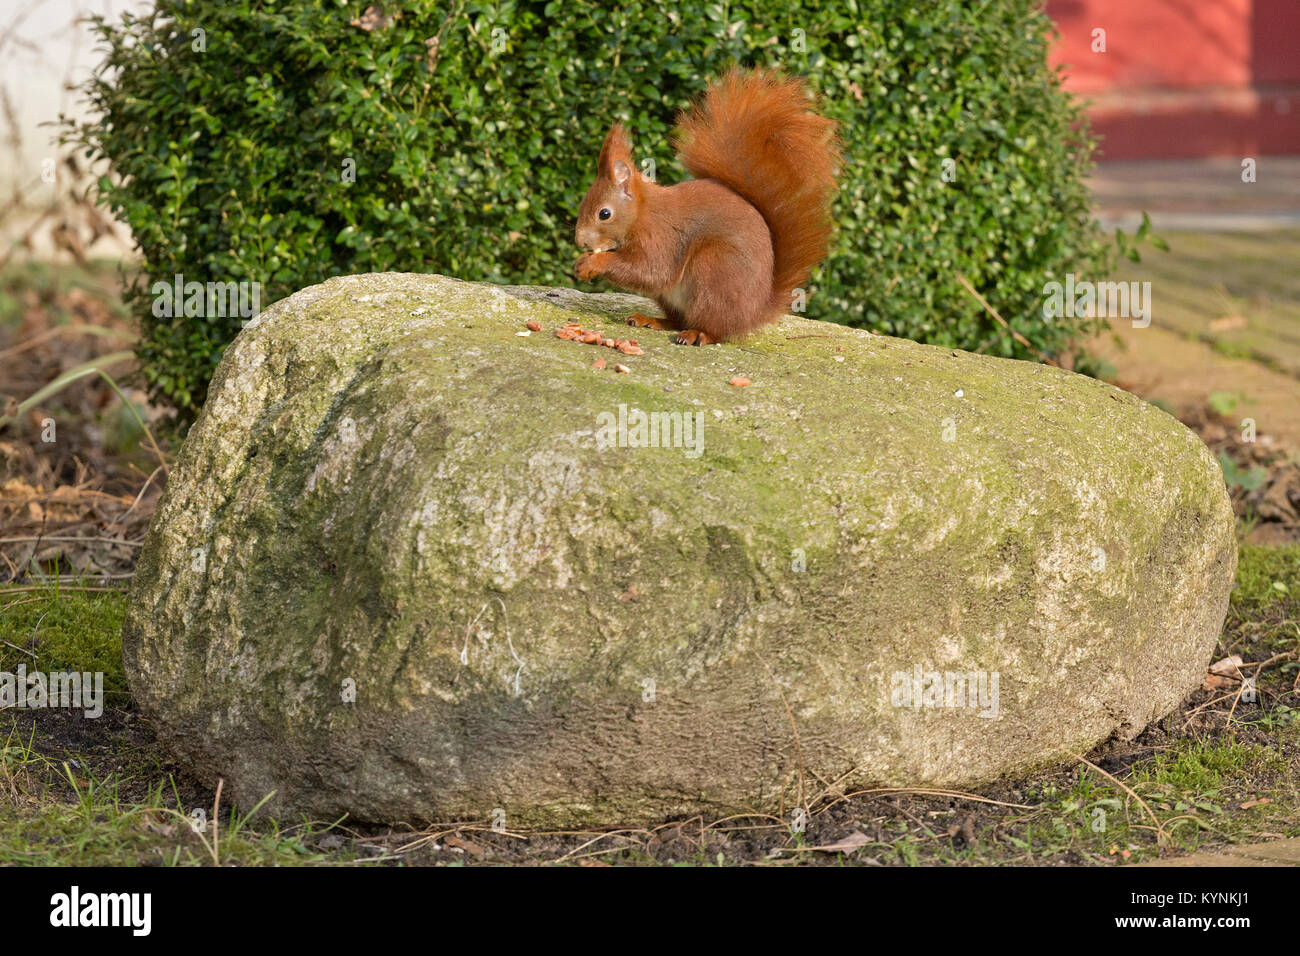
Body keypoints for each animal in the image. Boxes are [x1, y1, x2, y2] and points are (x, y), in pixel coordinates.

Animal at [572, 70, 837, 348]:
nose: (580, 242)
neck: (641, 213)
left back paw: (698, 334)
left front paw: (594, 262)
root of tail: (754, 313)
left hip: (714, 270)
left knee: (715, 329)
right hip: (674, 297)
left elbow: (652, 272)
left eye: (604, 214)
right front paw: (581, 262)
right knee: (679, 319)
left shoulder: (661, 237)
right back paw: (652, 320)